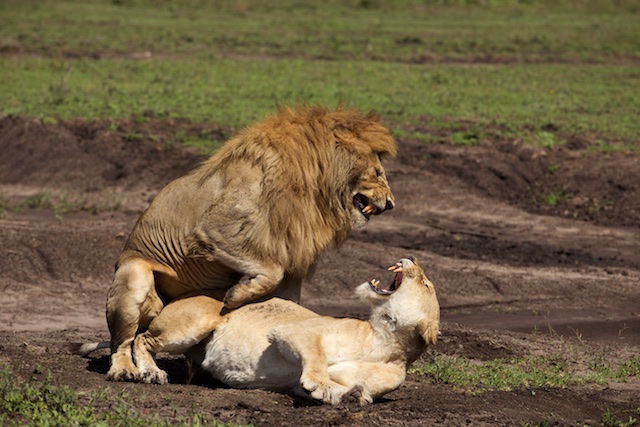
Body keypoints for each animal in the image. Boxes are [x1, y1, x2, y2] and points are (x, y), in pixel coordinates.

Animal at [75, 258, 438, 404]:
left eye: (426, 283)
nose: (411, 257)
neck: (383, 341)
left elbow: (339, 389)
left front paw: (348, 396)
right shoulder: (292, 331)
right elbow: (316, 359)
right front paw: (321, 384)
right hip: (196, 321)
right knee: (141, 338)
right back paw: (151, 372)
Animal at [104, 104, 396, 384]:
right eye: (378, 172)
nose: (392, 203)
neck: (314, 193)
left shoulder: (292, 259)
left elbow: (286, 300)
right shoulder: (215, 229)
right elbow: (270, 270)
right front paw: (237, 295)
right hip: (134, 278)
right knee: (123, 342)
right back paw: (129, 371)